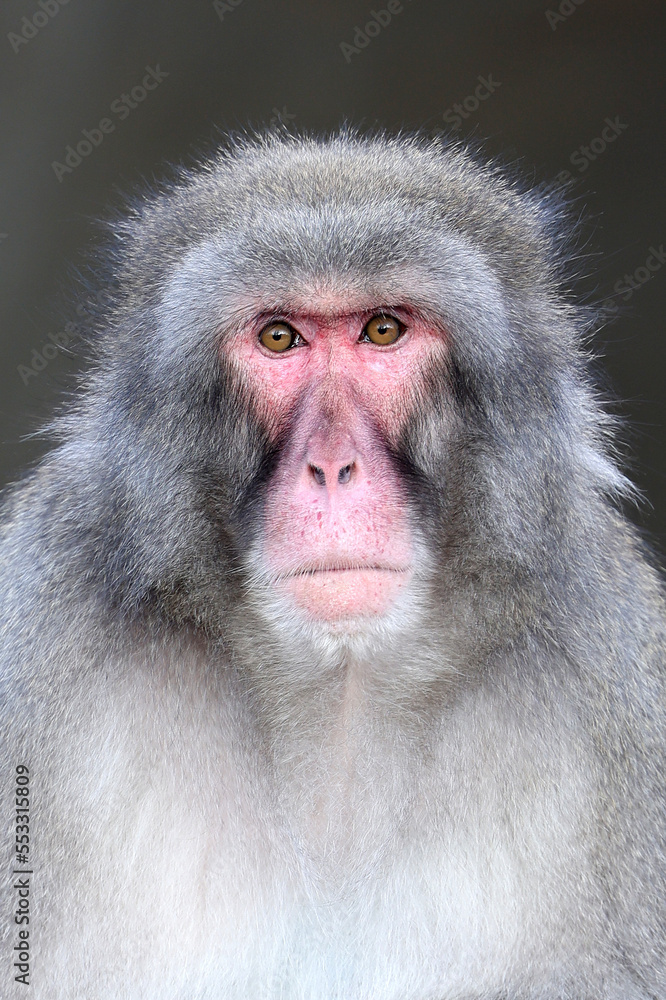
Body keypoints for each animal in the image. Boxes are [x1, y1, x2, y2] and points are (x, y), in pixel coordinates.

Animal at [1, 130, 665, 1000]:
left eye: (382, 331)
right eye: (280, 337)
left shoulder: (617, 672)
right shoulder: (40, 620)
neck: (340, 704)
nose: (332, 467)